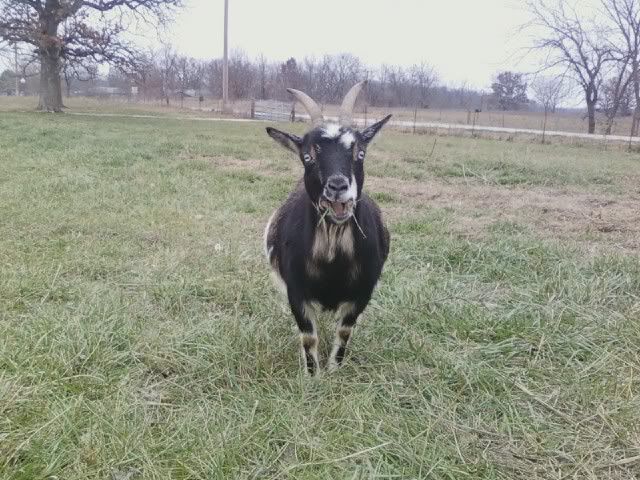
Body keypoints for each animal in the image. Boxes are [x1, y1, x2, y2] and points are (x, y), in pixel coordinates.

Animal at [264, 81, 392, 375]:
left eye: (360, 152)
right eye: (307, 156)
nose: (337, 186)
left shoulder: (362, 293)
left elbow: (344, 332)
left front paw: (334, 369)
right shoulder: (296, 292)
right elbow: (308, 336)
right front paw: (313, 375)